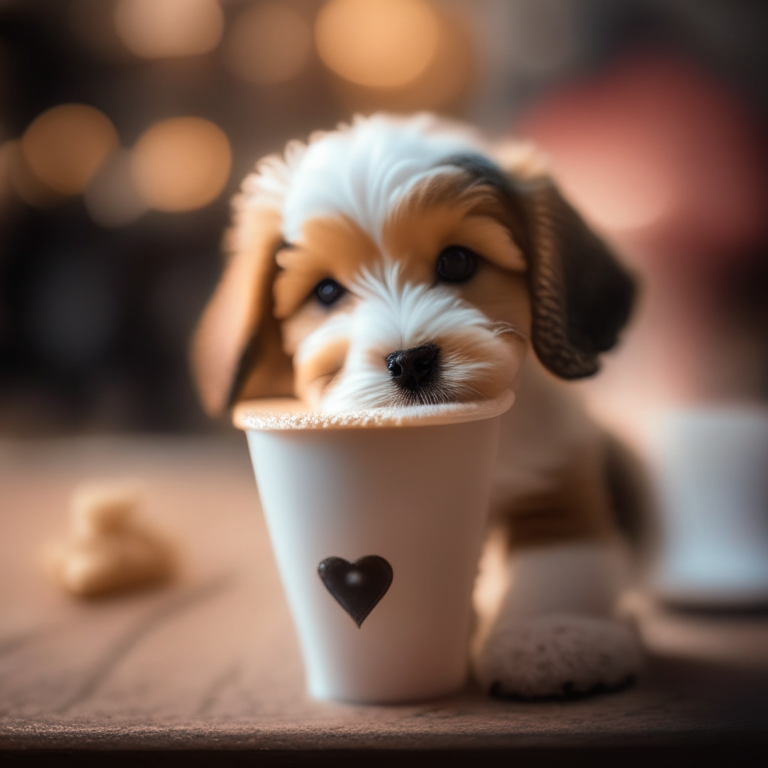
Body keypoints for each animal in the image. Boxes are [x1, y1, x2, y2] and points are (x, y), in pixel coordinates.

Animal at [190, 115, 640, 704]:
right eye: (327, 292)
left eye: (458, 260)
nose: (410, 361)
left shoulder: (555, 471)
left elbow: (562, 559)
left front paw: (554, 635)